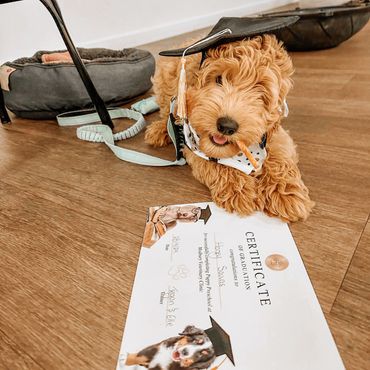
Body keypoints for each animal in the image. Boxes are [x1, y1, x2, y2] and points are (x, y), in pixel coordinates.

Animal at [146, 34, 314, 221]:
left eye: (261, 93)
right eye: (219, 79)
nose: (226, 126)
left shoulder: (272, 132)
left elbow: (279, 154)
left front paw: (286, 193)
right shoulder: (192, 142)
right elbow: (215, 163)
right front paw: (239, 190)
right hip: (166, 80)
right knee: (166, 111)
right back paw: (159, 130)